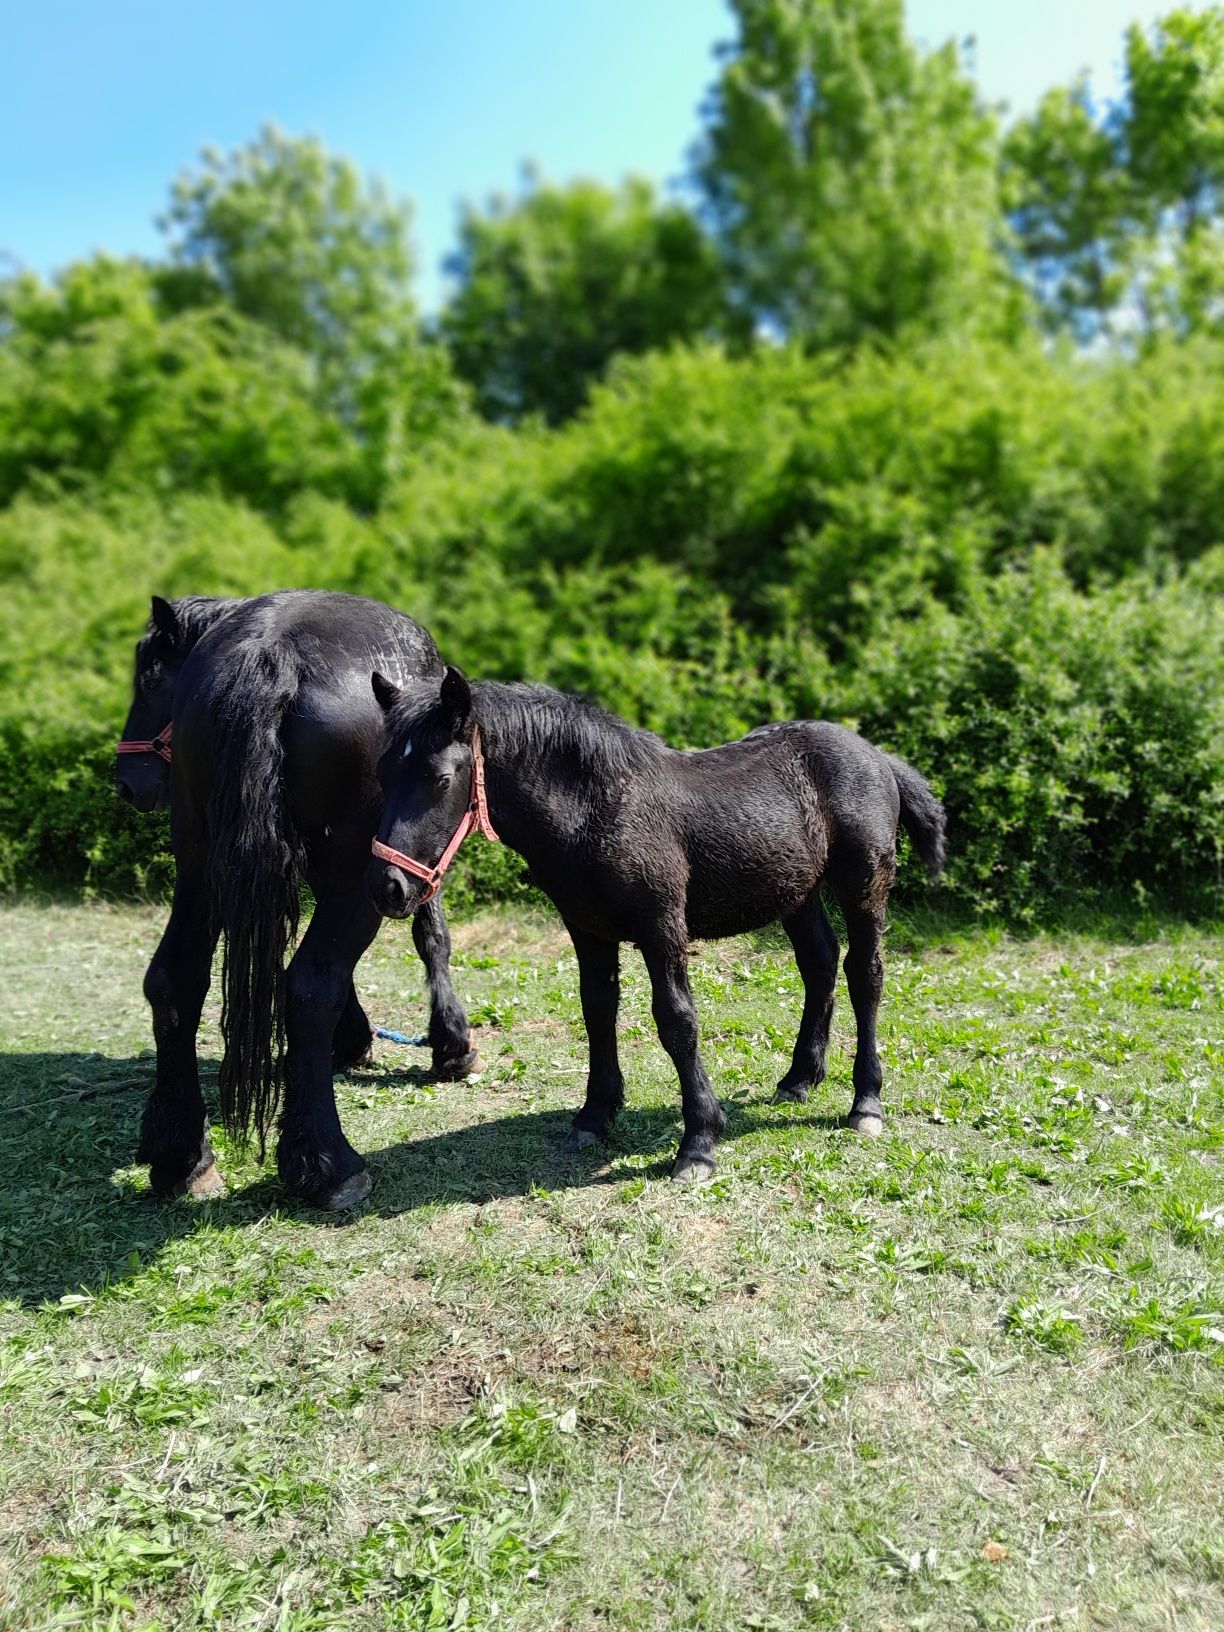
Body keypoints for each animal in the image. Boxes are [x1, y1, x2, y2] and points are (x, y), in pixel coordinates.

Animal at [117, 594, 476, 1207]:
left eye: (151, 678)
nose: (125, 781)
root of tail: (273, 658)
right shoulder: (397, 864)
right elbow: (430, 937)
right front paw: (450, 1042)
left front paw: (354, 1039)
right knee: (308, 985)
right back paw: (326, 1164)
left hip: (201, 862)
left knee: (173, 980)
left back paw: (182, 1155)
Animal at [363, 669, 946, 1181]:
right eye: (383, 772)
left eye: (441, 779)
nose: (388, 887)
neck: (598, 808)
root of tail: (877, 757)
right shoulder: (587, 929)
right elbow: (597, 1010)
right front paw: (594, 1116)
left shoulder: (661, 926)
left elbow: (677, 1022)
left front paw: (699, 1142)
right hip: (796, 893)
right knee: (819, 963)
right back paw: (800, 1078)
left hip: (863, 883)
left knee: (864, 973)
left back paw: (865, 1102)